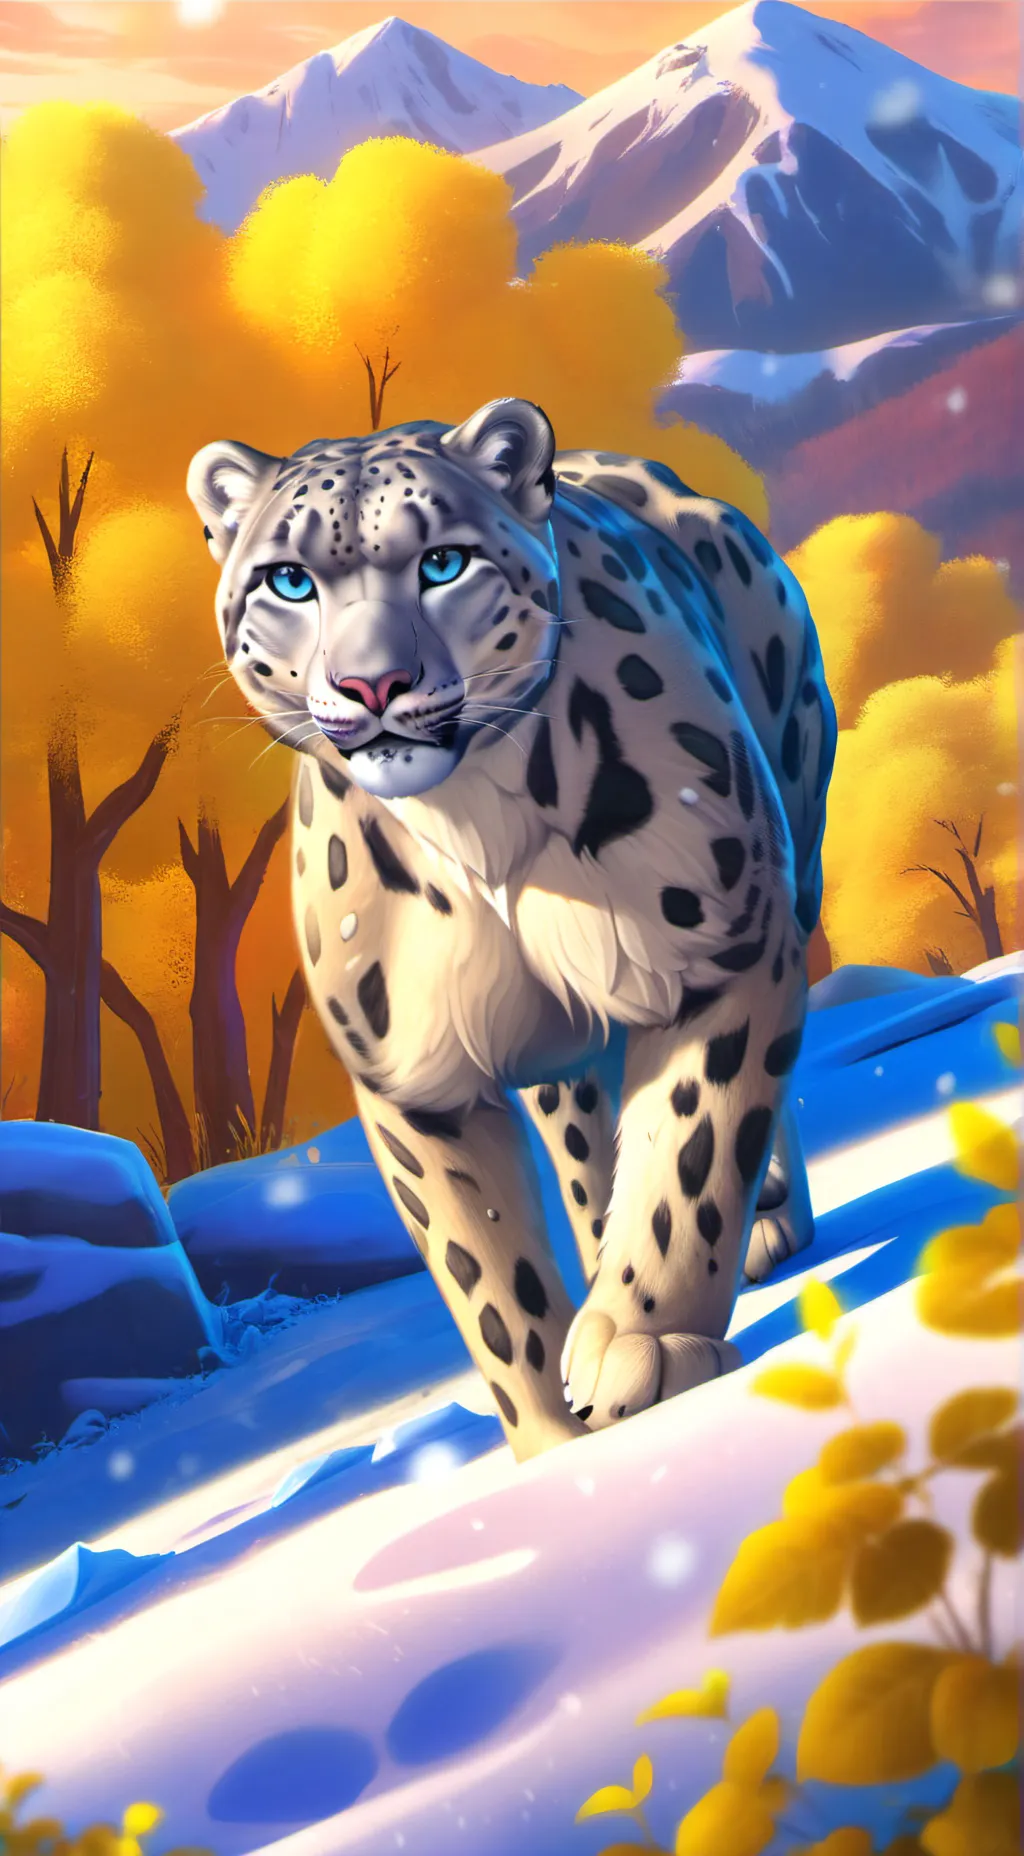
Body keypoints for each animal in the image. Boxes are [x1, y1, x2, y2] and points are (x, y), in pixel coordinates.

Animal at [187, 398, 837, 1462]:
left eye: (442, 562)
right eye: (289, 580)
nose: (374, 685)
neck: (474, 824)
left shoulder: (722, 944)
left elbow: (692, 1152)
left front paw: (644, 1347)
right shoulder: (413, 1075)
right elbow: (483, 1266)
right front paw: (547, 1435)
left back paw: (767, 1219)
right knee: (579, 1127)